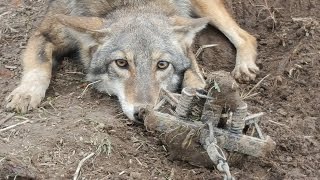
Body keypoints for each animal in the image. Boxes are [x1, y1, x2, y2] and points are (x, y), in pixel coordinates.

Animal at [6, 0, 258, 122]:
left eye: (162, 65)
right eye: (121, 63)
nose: (142, 113)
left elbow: (192, 70)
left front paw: (195, 97)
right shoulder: (45, 32)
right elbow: (39, 66)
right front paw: (25, 94)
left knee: (246, 35)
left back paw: (244, 66)